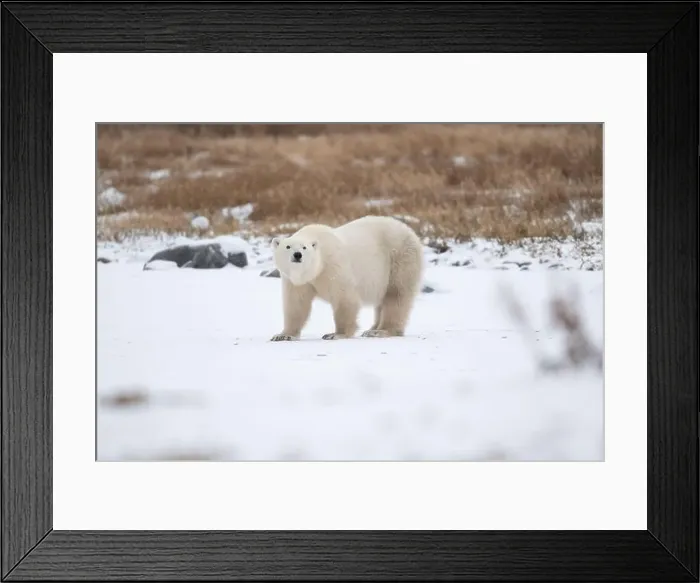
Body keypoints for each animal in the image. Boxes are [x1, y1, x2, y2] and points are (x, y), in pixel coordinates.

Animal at [269, 215, 424, 341]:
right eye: (288, 246)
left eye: (304, 247)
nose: (297, 255)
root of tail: (410, 231)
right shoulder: (295, 281)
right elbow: (296, 304)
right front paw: (283, 335)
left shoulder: (332, 266)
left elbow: (344, 298)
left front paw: (336, 334)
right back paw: (372, 329)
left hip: (399, 258)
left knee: (396, 295)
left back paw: (381, 331)